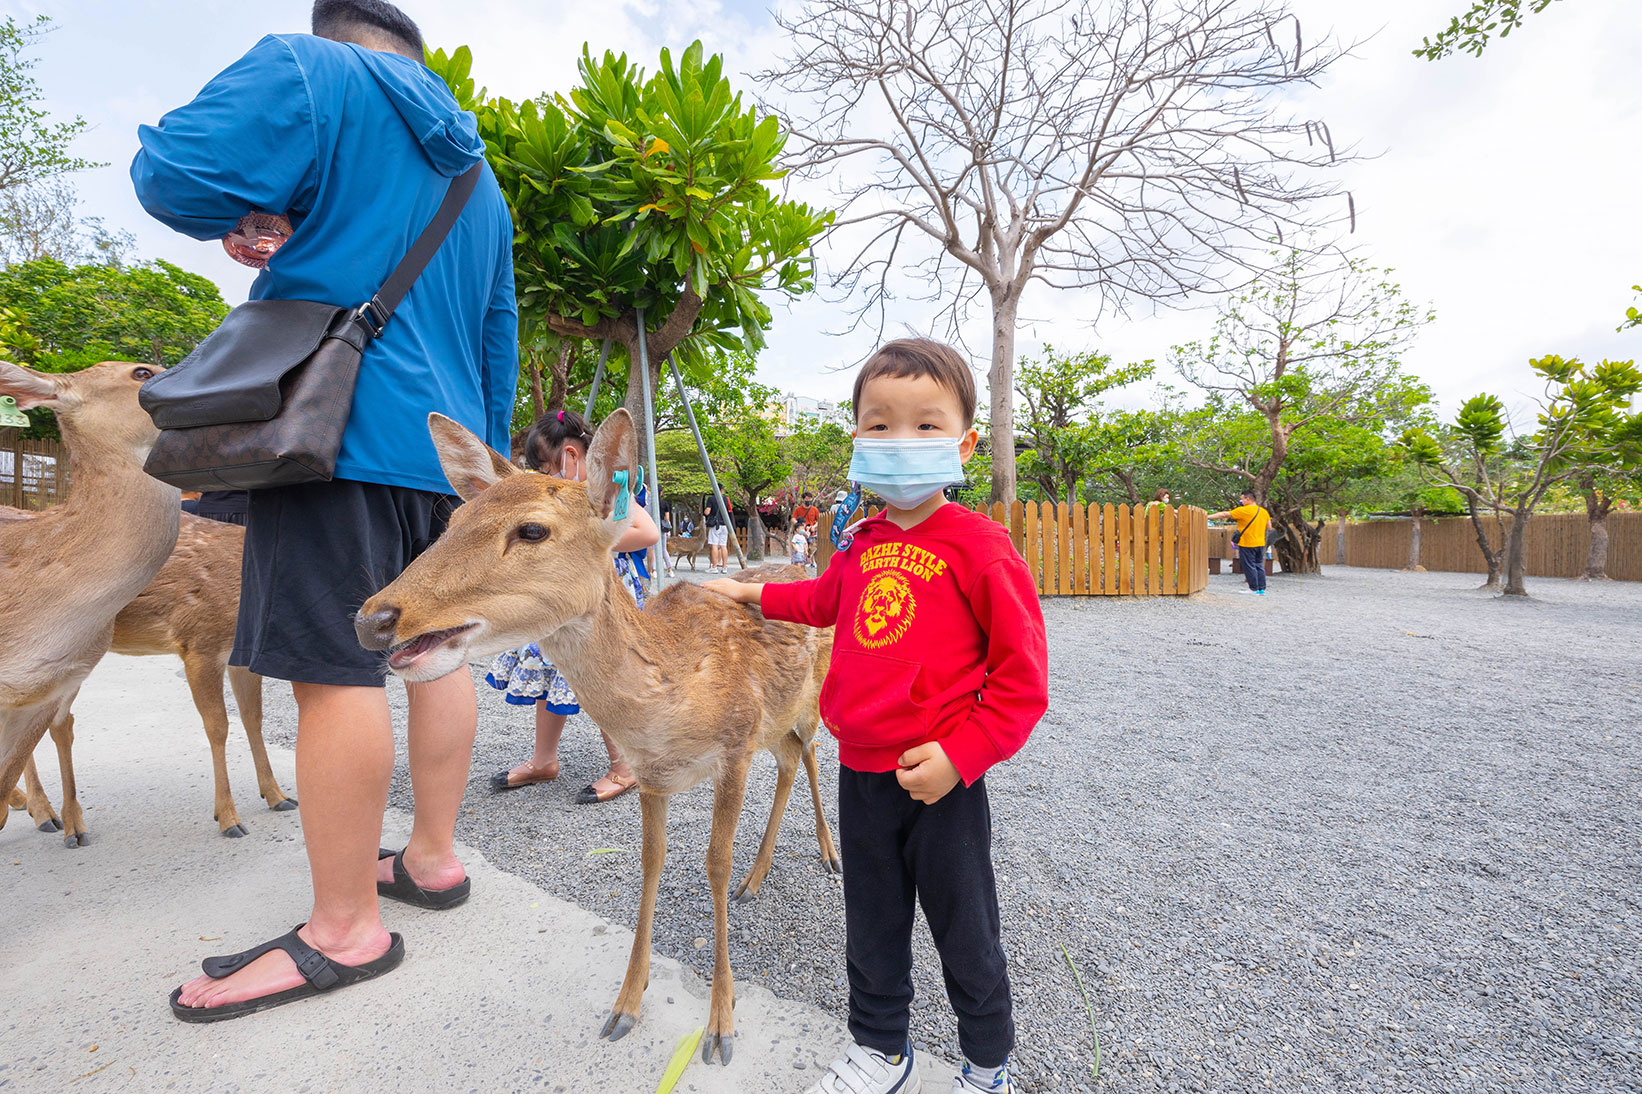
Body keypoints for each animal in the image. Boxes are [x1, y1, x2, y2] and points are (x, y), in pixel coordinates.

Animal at [11, 511, 296, 842]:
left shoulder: (237, 654)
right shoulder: (200, 642)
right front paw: (228, 818)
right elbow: (218, 727)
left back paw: (40, 811)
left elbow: (253, 718)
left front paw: (277, 796)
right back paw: (50, 815)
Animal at [354, 409, 840, 1067]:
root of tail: (806, 566)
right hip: (775, 722)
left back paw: (829, 854)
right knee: (790, 761)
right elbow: (652, 861)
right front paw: (625, 1004)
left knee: (811, 756)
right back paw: (756, 879)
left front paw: (720, 1025)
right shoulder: (653, 774)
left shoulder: (734, 748)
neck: (669, 702)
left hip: (807, 702)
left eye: (532, 529)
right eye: (452, 522)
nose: (373, 619)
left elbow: (713, 863)